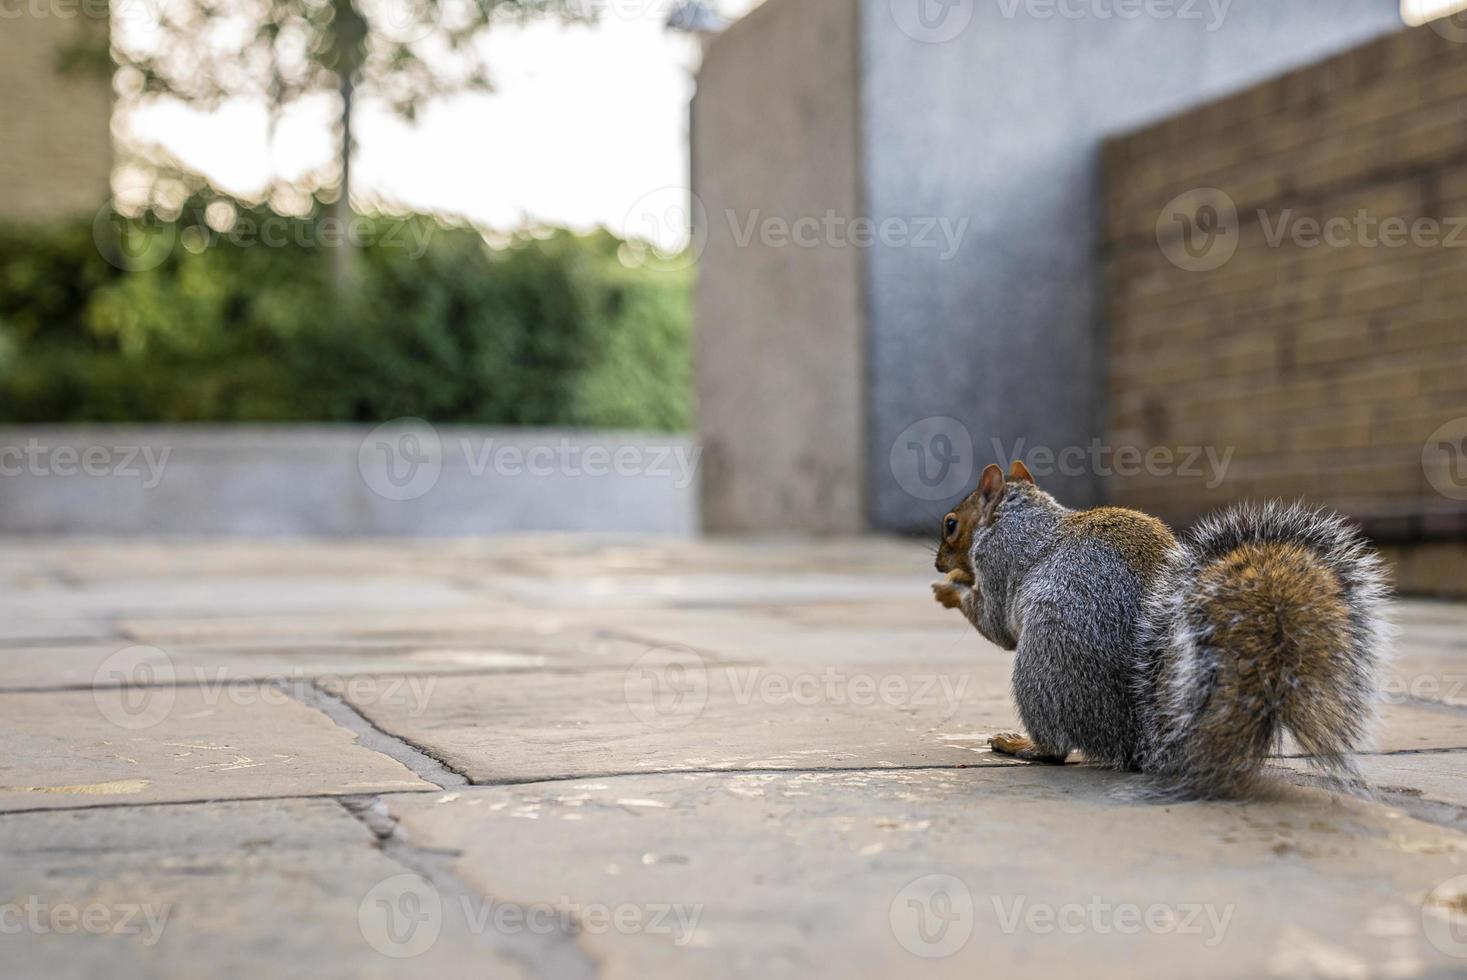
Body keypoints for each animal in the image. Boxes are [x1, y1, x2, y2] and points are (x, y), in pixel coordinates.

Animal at [927, 460, 1384, 798]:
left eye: (951, 524)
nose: (936, 562)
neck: (1023, 513)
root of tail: (1140, 740)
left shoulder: (998, 563)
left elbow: (996, 624)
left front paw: (950, 589)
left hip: (1043, 663)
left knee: (1055, 748)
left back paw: (1020, 744)